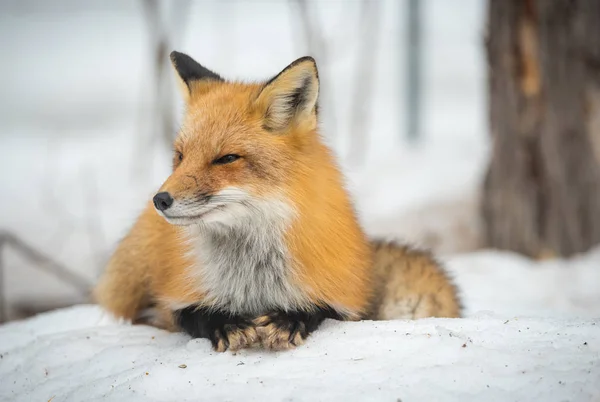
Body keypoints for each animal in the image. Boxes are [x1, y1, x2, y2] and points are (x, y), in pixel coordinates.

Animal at [94, 51, 460, 352]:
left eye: (226, 158)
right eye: (180, 156)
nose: (160, 200)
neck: (254, 277)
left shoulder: (343, 297)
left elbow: (321, 309)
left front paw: (289, 320)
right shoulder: (176, 296)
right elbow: (190, 315)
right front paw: (225, 323)